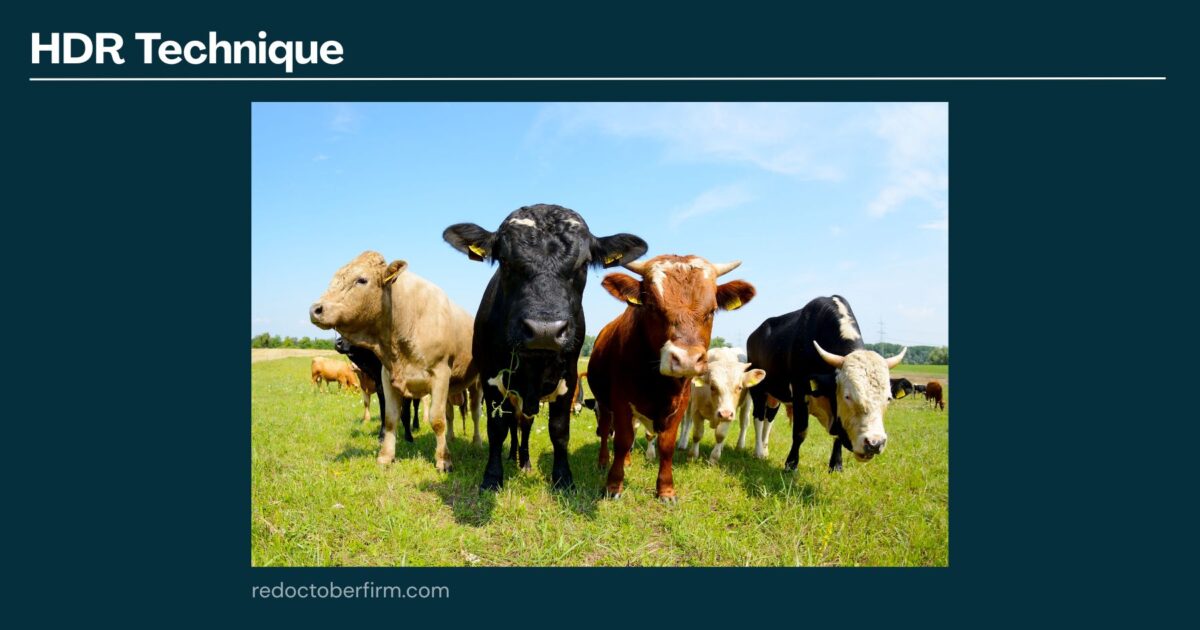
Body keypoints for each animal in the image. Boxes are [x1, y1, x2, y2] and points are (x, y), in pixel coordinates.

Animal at [310, 251, 483, 471]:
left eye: (361, 280)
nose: (315, 309)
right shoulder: (387, 377)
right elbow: (391, 418)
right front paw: (385, 456)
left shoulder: (441, 374)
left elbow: (436, 419)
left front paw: (443, 460)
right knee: (451, 414)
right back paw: (451, 438)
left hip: (476, 382)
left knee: (475, 412)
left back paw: (476, 442)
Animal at [443, 204, 647, 492]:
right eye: (504, 261)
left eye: (584, 264)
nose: (544, 330)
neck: (534, 364)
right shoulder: (491, 379)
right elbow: (497, 428)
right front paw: (492, 477)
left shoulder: (569, 378)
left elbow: (559, 430)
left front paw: (563, 478)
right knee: (514, 424)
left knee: (525, 425)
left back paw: (524, 461)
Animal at [589, 254, 756, 502]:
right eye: (652, 306)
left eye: (712, 310)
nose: (686, 359)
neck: (657, 384)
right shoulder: (621, 401)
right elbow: (622, 440)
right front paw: (613, 486)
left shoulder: (681, 404)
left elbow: (667, 444)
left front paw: (666, 490)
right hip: (603, 402)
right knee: (605, 429)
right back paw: (602, 461)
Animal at [747, 295, 907, 472]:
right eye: (847, 396)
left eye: (888, 398)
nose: (874, 443)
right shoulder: (800, 392)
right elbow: (800, 431)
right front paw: (791, 464)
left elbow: (837, 436)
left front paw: (836, 465)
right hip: (758, 390)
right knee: (759, 418)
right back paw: (758, 451)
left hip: (775, 395)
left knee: (769, 419)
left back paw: (765, 451)